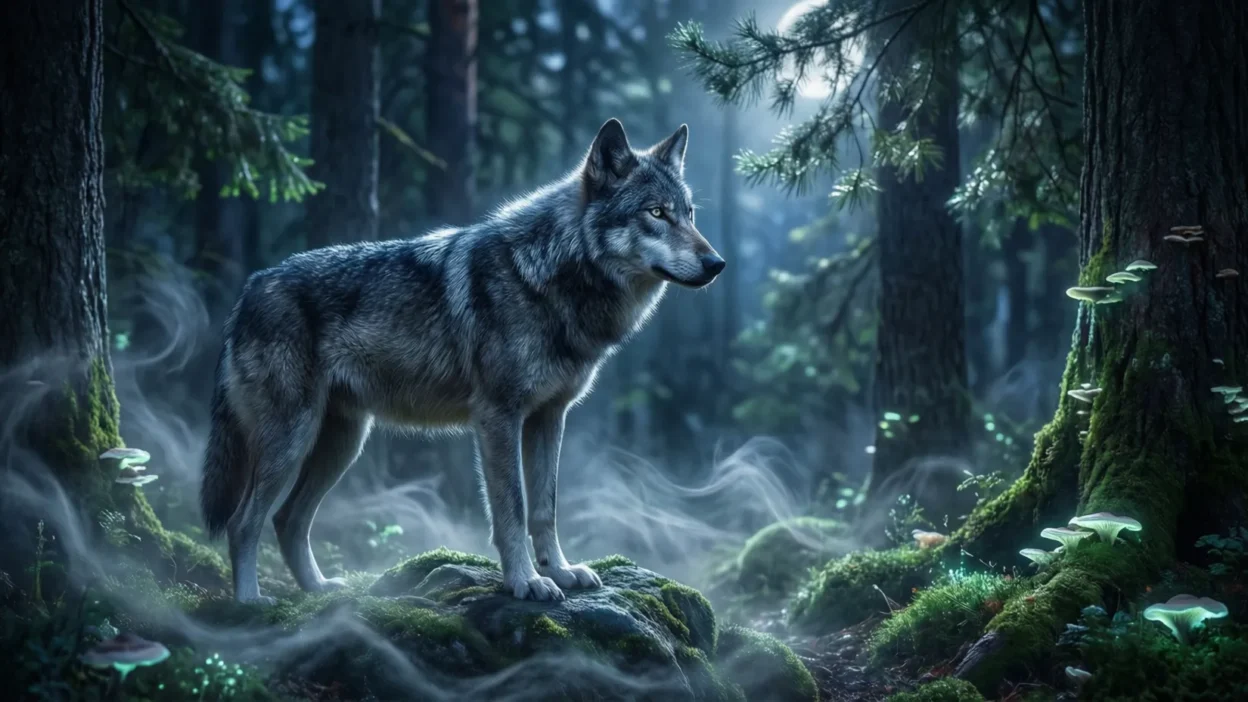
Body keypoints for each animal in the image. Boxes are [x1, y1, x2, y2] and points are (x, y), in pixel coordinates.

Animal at [200, 119, 725, 604]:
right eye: (656, 213)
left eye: (690, 215)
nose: (717, 263)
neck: (550, 275)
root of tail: (249, 290)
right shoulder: (498, 417)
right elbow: (512, 509)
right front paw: (526, 582)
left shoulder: (549, 418)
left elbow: (545, 509)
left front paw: (560, 572)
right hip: (293, 440)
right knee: (244, 522)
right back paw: (250, 603)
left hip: (343, 443)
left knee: (287, 519)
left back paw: (321, 590)